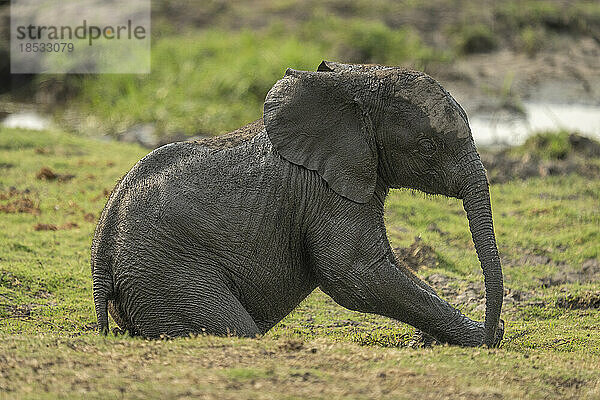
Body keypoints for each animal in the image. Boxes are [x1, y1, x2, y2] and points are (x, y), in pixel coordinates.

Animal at [92, 59, 506, 346]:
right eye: (427, 147)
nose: (492, 328)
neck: (349, 85)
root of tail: (100, 257)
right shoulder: (327, 192)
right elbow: (355, 274)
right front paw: (484, 336)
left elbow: (380, 265)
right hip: (169, 276)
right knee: (233, 329)